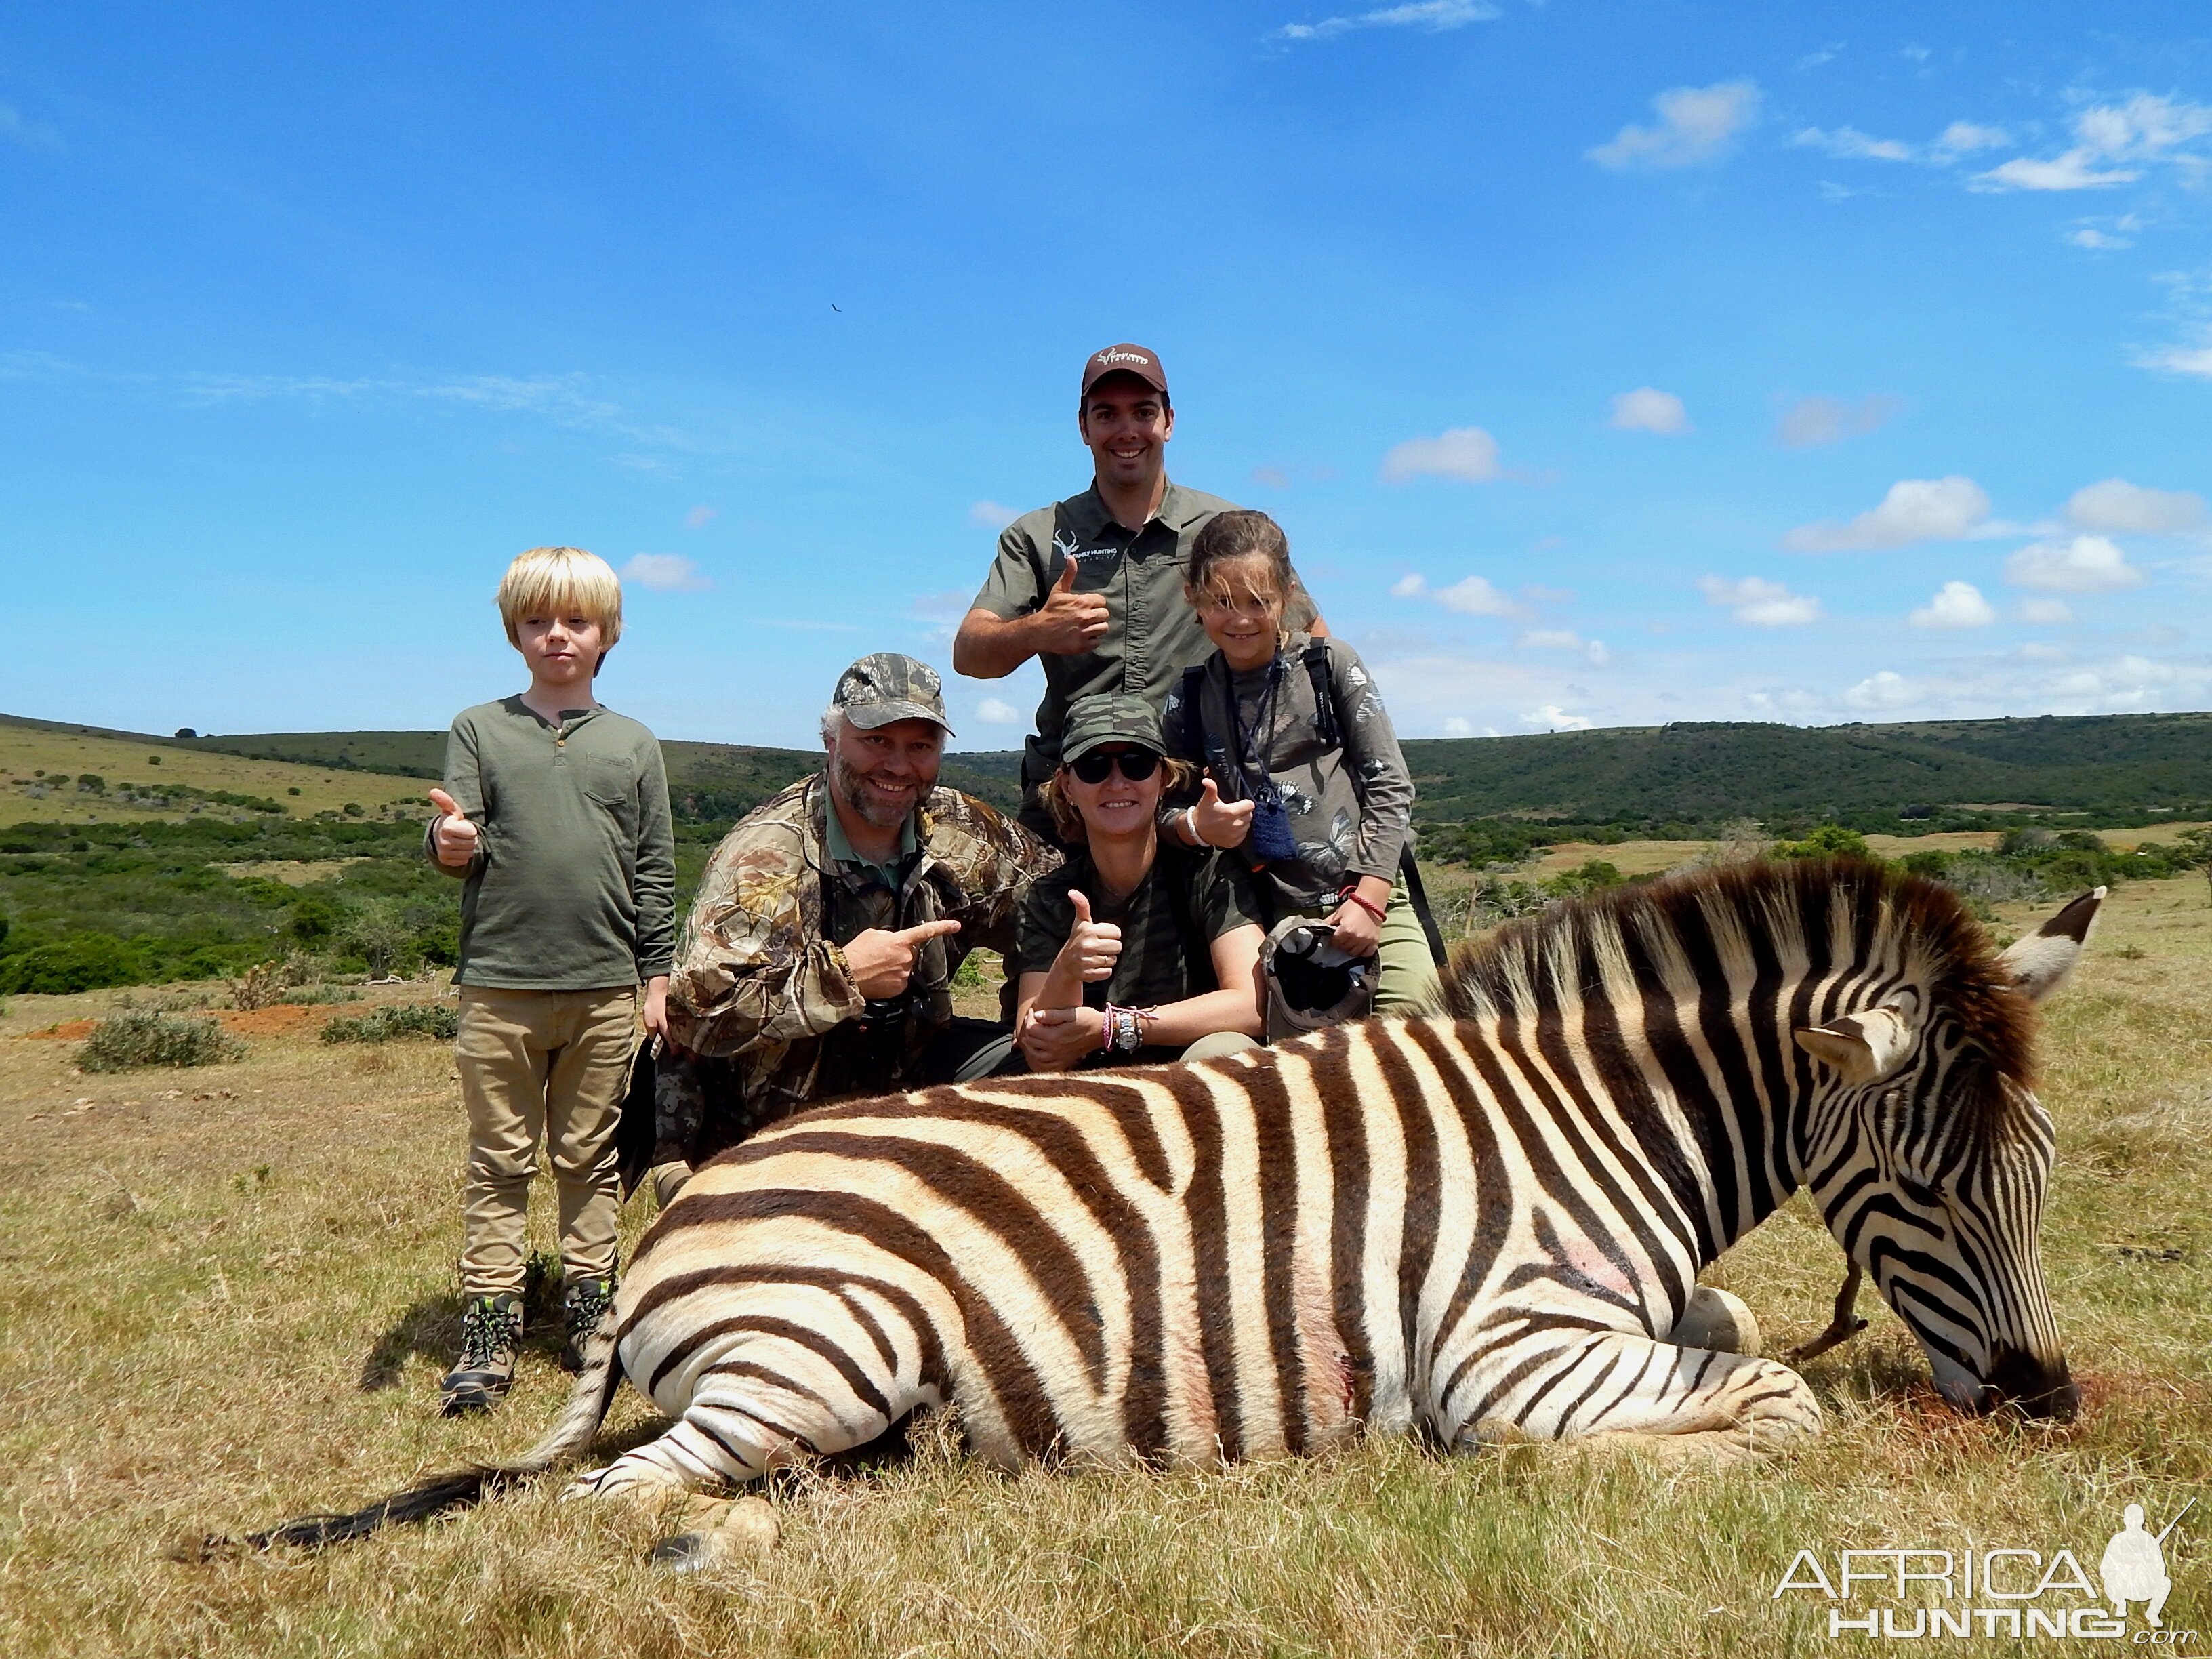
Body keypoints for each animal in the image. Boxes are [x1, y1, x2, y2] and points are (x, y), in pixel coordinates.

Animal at [233, 862, 2097, 1557]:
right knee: (621, 1497)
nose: (2046, 1397)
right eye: (1925, 1185)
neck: (1587, 1118)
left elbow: (1739, 1324)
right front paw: (1583, 1465)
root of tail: (675, 1226)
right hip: (824, 1345)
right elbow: (1773, 1401)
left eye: (2044, 1167)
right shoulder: (1507, 1345)